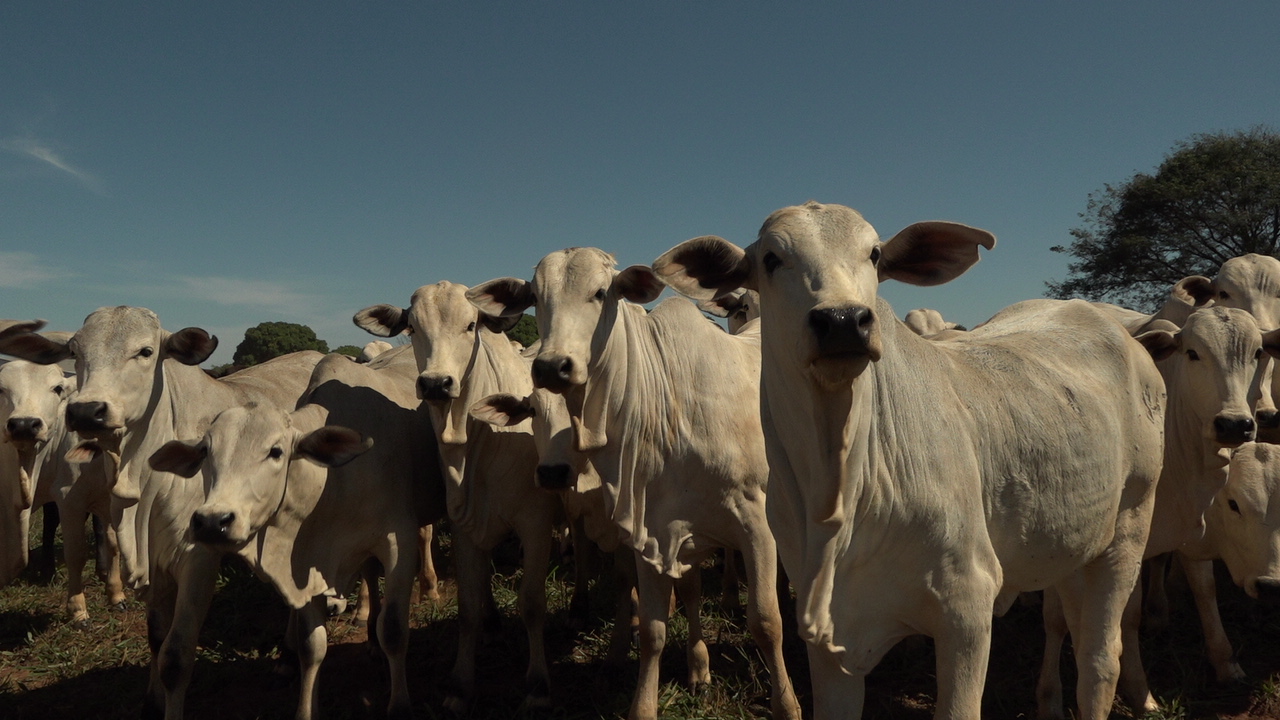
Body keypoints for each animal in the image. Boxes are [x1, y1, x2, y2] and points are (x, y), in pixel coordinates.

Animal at [0, 303, 322, 717]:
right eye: (74, 350)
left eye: (145, 351)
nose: (87, 412)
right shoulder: (153, 560)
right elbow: (155, 635)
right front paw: (152, 700)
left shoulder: (198, 558)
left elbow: (176, 655)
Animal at [147, 340, 440, 717]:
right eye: (205, 452)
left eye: (276, 451)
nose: (213, 521)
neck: (332, 481)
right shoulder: (309, 561)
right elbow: (311, 646)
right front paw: (305, 708)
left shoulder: (396, 543)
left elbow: (394, 630)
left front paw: (400, 704)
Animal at [358, 280, 563, 707]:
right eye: (412, 327)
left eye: (471, 325)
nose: (436, 383)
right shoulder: (465, 524)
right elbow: (467, 608)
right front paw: (460, 684)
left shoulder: (536, 523)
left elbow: (533, 604)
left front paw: (538, 682)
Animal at [465, 249, 798, 717]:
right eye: (535, 298)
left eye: (601, 292)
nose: (551, 365)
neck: (671, 405)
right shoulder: (654, 531)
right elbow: (655, 630)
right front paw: (646, 702)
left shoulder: (757, 524)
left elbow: (766, 621)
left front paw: (787, 704)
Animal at [655, 199, 1167, 717]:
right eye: (771, 259)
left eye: (875, 254)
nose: (844, 320)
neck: (841, 494)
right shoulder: (828, 640)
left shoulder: (967, 609)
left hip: (1129, 527)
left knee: (1099, 663)